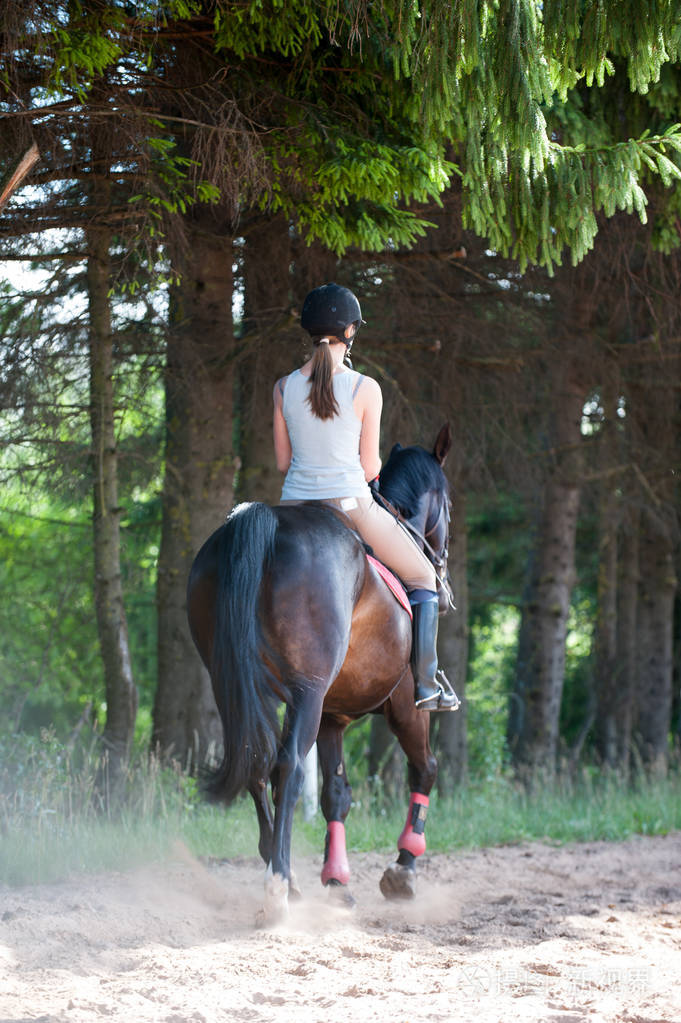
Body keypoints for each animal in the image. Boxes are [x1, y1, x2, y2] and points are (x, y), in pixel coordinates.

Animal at [186, 419, 449, 924]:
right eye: (449, 501)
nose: (441, 562)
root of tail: (264, 521)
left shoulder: (333, 716)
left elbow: (336, 795)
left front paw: (337, 881)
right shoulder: (406, 705)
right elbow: (424, 769)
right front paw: (403, 867)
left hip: (237, 687)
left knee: (255, 762)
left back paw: (287, 877)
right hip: (307, 694)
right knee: (285, 767)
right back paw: (278, 888)